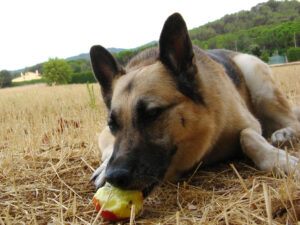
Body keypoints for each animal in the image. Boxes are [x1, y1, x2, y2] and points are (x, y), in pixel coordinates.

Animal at [89, 13, 300, 196]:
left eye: (153, 113)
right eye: (112, 124)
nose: (114, 177)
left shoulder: (251, 124)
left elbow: (247, 136)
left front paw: (281, 160)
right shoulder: (103, 134)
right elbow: (110, 149)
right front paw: (103, 168)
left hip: (258, 80)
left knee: (292, 121)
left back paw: (285, 133)